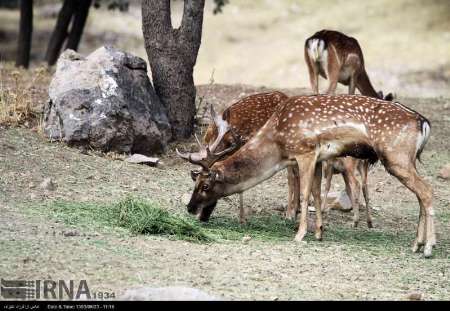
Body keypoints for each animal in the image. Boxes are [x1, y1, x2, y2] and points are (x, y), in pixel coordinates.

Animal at [181, 94, 434, 258]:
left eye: (204, 185)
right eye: (195, 182)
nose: (190, 208)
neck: (278, 145)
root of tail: (423, 123)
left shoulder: (305, 151)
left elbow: (304, 195)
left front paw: (300, 234)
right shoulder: (321, 158)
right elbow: (317, 194)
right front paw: (319, 232)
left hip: (396, 155)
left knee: (427, 191)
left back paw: (428, 248)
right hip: (406, 159)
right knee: (421, 194)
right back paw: (417, 244)